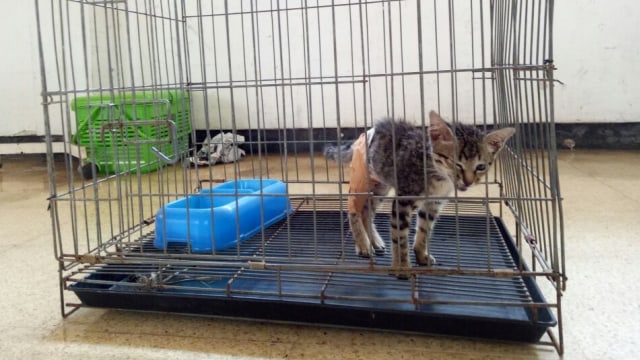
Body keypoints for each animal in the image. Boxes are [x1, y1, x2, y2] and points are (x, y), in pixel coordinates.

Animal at [324, 112, 516, 278]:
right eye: (456, 164)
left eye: (481, 167)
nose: (468, 182)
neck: (437, 175)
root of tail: (367, 132)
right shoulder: (404, 200)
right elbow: (400, 237)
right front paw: (402, 268)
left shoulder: (433, 203)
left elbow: (424, 230)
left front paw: (421, 254)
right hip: (362, 180)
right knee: (353, 210)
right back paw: (363, 245)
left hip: (381, 184)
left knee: (367, 211)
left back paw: (375, 241)